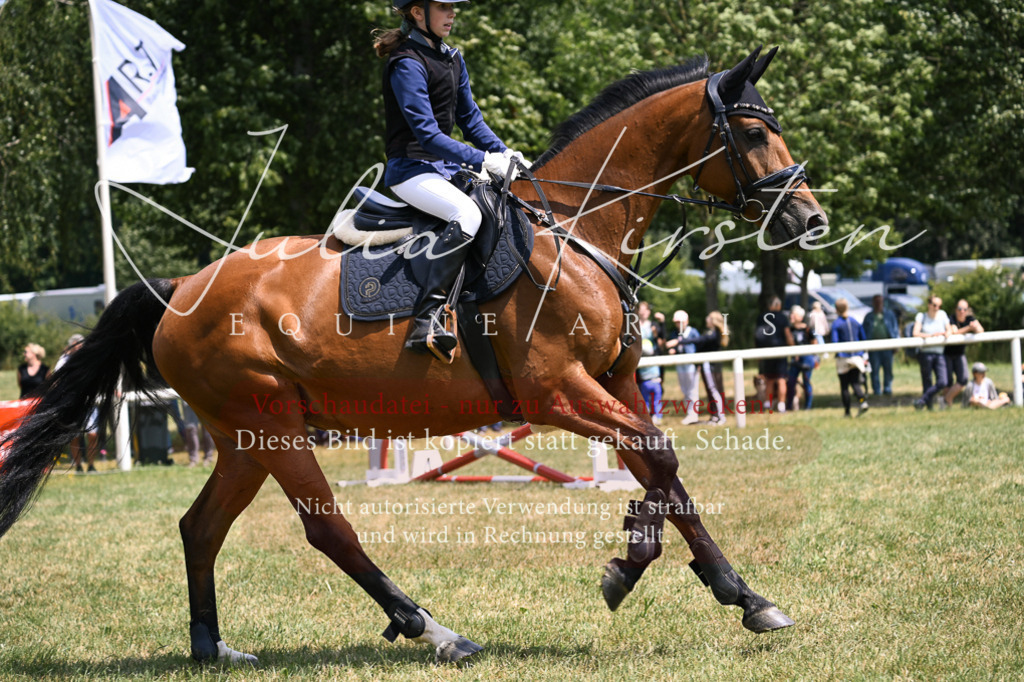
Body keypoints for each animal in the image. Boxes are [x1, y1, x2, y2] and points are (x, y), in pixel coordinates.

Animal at [0, 47, 826, 665]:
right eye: (754, 134)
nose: (810, 219)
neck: (575, 229)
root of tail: (179, 291)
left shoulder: (616, 382)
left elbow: (666, 472)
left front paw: (742, 596)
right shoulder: (559, 392)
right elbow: (658, 459)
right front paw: (629, 566)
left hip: (244, 437)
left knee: (201, 528)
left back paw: (213, 648)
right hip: (271, 426)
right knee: (328, 530)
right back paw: (433, 630)